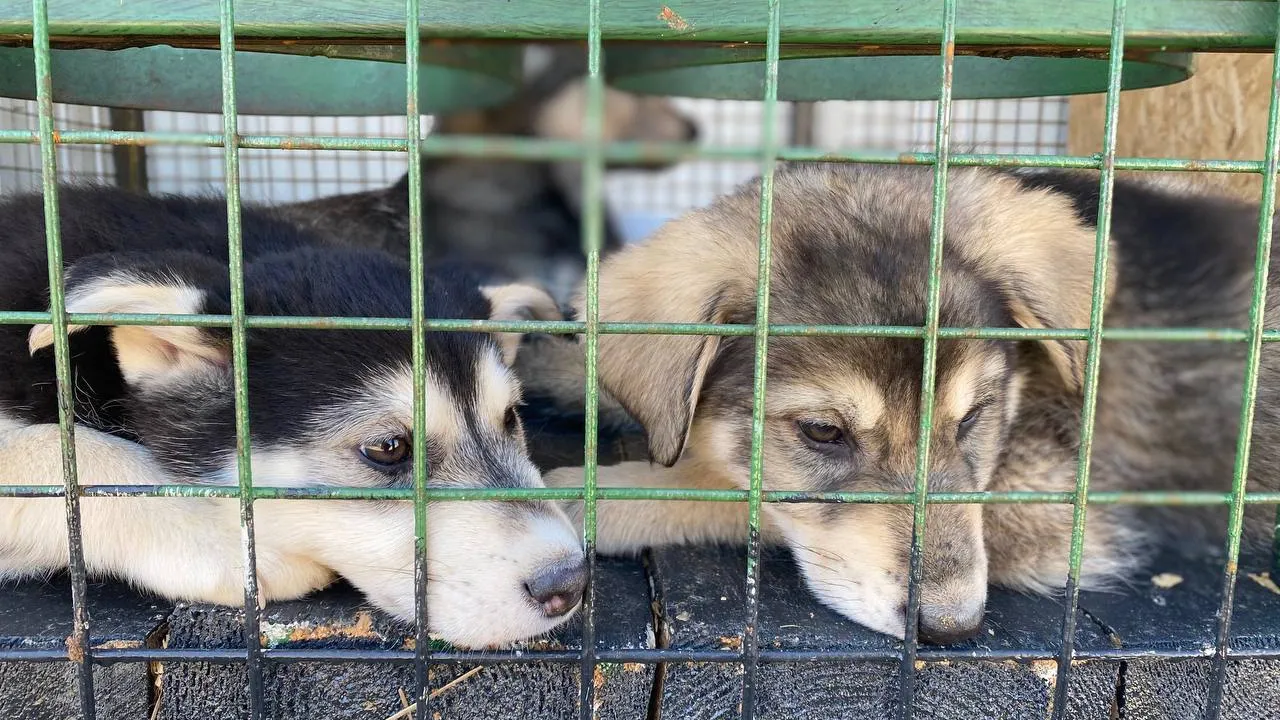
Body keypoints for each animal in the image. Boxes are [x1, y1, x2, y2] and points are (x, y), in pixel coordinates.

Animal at [542, 163, 1280, 645]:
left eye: (974, 417)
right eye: (823, 432)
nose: (951, 628)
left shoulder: (1050, 501)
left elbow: (726, 493)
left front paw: (584, 492)